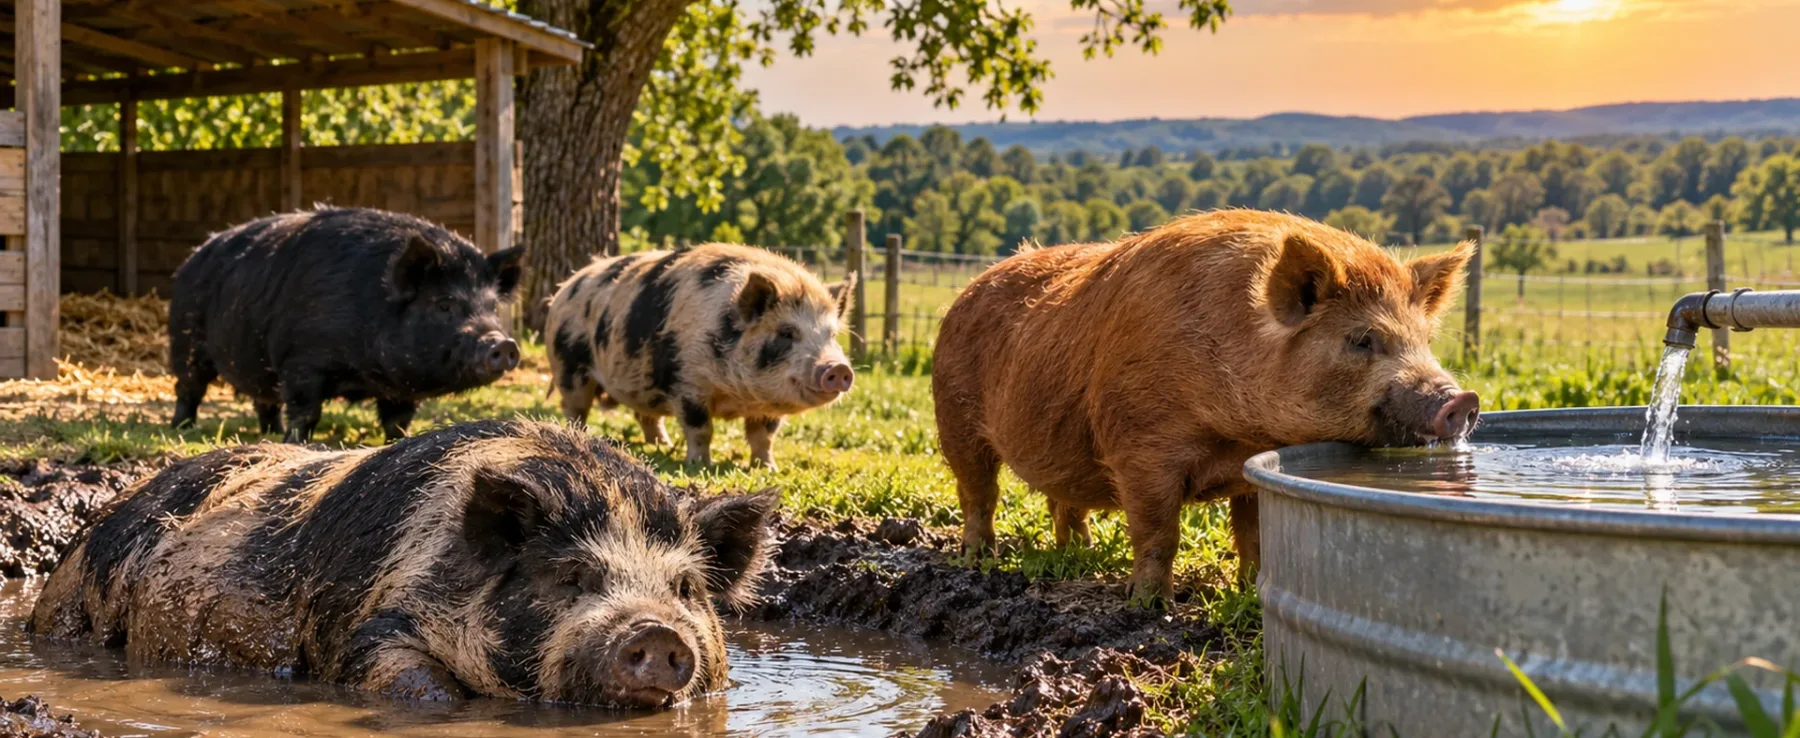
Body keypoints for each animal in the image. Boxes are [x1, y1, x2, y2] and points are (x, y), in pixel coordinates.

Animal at [30, 420, 778, 708]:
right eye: (572, 577)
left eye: (684, 587)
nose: (655, 630)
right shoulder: (369, 628)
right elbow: (420, 685)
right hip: (75, 608)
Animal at [167, 207, 523, 443]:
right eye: (444, 304)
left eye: (492, 307)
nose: (503, 343)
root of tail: (191, 258)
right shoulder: (301, 361)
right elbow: (305, 410)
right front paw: (296, 443)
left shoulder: (401, 387)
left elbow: (398, 421)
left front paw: (397, 443)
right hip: (185, 339)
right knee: (188, 388)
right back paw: (182, 428)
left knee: (264, 399)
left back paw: (269, 432)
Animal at [544, 244, 856, 469]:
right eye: (786, 333)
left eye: (832, 335)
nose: (838, 368)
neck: (739, 396)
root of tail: (564, 287)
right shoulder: (686, 383)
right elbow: (701, 428)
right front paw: (700, 466)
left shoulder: (767, 407)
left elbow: (764, 436)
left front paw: (768, 468)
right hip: (568, 365)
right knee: (574, 407)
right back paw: (579, 436)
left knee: (645, 414)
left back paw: (659, 445)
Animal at [932, 210, 1479, 604]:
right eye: (1362, 340)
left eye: (1425, 340)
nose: (1462, 400)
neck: (1238, 431)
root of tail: (970, 288)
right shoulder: (1139, 445)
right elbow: (1158, 531)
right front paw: (1150, 605)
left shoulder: (1254, 468)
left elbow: (1255, 534)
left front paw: (1250, 590)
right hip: (954, 415)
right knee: (978, 492)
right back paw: (979, 559)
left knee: (1061, 498)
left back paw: (1077, 554)